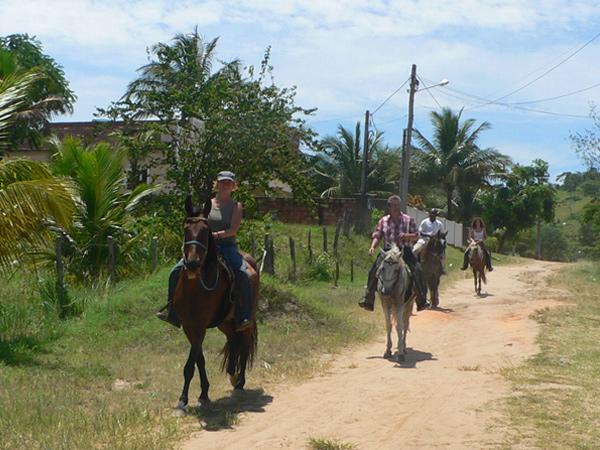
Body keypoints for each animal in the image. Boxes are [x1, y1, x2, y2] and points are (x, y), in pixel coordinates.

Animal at [172, 195, 258, 414]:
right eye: (185, 229)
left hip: (245, 322)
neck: (195, 289)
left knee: (243, 345)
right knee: (233, 341)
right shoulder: (190, 326)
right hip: (225, 323)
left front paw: (184, 400)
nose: (193, 263)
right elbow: (199, 360)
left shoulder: (200, 326)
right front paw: (201, 394)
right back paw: (232, 375)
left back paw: (240, 383)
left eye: (205, 231)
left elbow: (190, 363)